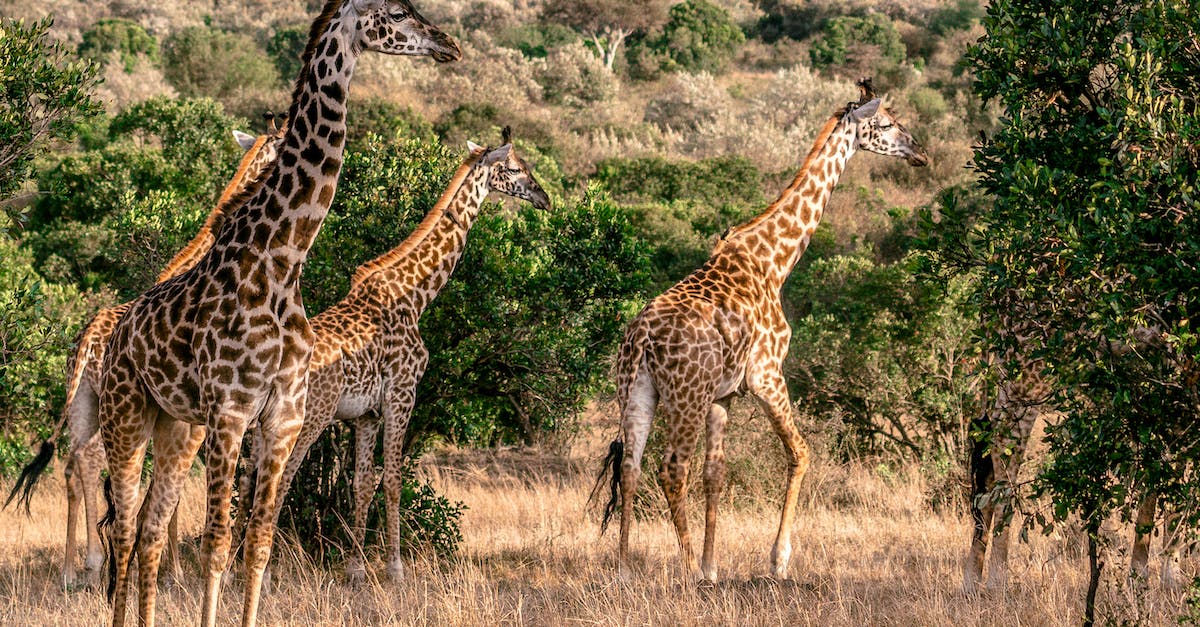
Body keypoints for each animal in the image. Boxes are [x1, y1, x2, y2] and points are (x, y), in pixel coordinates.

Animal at [3, 112, 288, 590]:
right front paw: (171, 571)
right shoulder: (191, 419)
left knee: (71, 466)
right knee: (92, 463)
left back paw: (69, 571)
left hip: (82, 403)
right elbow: (170, 489)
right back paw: (94, 562)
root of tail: (86, 342)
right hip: (114, 407)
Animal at [94, 2, 459, 626]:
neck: (282, 263)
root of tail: (117, 334)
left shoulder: (283, 415)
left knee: (149, 529)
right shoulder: (231, 412)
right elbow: (218, 542)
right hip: (127, 416)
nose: (447, 45)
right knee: (122, 528)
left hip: (176, 427)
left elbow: (259, 541)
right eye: (393, 11)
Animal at [263, 128, 550, 583]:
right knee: (280, 479)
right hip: (310, 417)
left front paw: (356, 570)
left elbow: (363, 484)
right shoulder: (402, 394)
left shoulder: (365, 414)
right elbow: (394, 481)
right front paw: (395, 569)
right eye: (515, 168)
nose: (545, 198)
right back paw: (262, 569)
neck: (415, 296)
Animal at [594, 79, 929, 582]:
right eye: (887, 123)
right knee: (672, 469)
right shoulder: (767, 374)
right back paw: (685, 570)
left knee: (631, 467)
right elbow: (802, 452)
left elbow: (717, 473)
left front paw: (714, 568)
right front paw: (778, 560)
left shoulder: (725, 395)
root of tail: (641, 342)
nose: (920, 153)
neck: (774, 259)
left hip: (635, 391)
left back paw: (623, 569)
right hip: (685, 396)